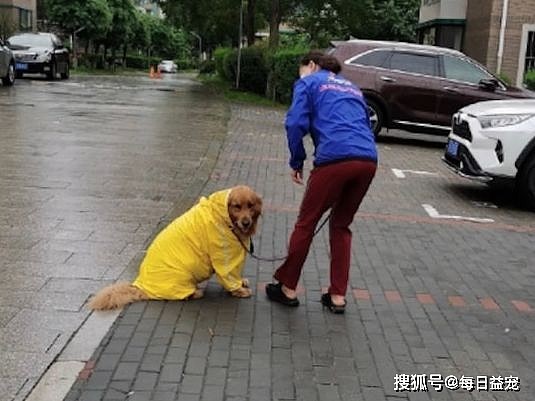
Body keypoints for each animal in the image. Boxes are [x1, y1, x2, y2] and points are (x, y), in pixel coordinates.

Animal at [89, 186, 262, 310]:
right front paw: (239, 290)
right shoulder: (224, 256)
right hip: (182, 275)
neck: (225, 219)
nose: (246, 222)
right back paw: (195, 292)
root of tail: (141, 286)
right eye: (237, 207)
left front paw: (242, 282)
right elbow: (230, 275)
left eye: (250, 206)